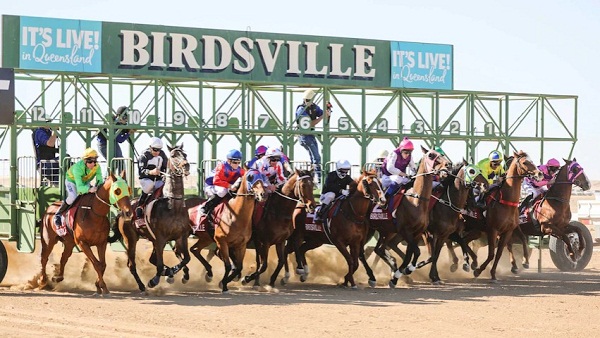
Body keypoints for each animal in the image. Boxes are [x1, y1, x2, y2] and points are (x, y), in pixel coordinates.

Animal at [111, 144, 189, 292]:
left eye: (185, 154)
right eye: (173, 155)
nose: (186, 166)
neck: (173, 206)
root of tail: (121, 213)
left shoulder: (181, 237)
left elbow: (186, 258)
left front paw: (178, 274)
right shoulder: (160, 239)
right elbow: (159, 264)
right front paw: (154, 280)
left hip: (150, 239)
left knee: (152, 259)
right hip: (130, 239)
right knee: (132, 264)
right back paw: (142, 285)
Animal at [472, 150, 540, 280]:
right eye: (525, 162)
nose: (540, 173)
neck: (507, 202)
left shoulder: (509, 230)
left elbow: (500, 252)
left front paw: (494, 273)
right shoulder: (493, 230)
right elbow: (492, 253)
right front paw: (478, 271)